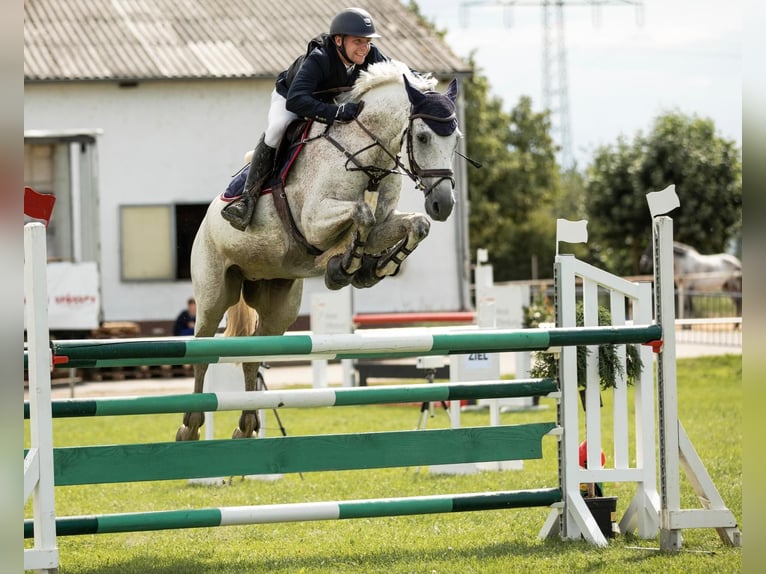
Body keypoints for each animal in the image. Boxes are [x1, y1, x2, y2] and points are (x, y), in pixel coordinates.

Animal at [178, 62, 462, 440]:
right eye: (423, 137)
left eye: (455, 139)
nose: (443, 204)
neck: (367, 155)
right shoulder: (314, 221)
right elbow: (362, 214)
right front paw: (344, 267)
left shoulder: (386, 222)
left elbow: (414, 225)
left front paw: (373, 268)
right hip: (214, 293)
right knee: (202, 349)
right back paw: (190, 426)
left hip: (279, 305)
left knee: (253, 354)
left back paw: (247, 424)